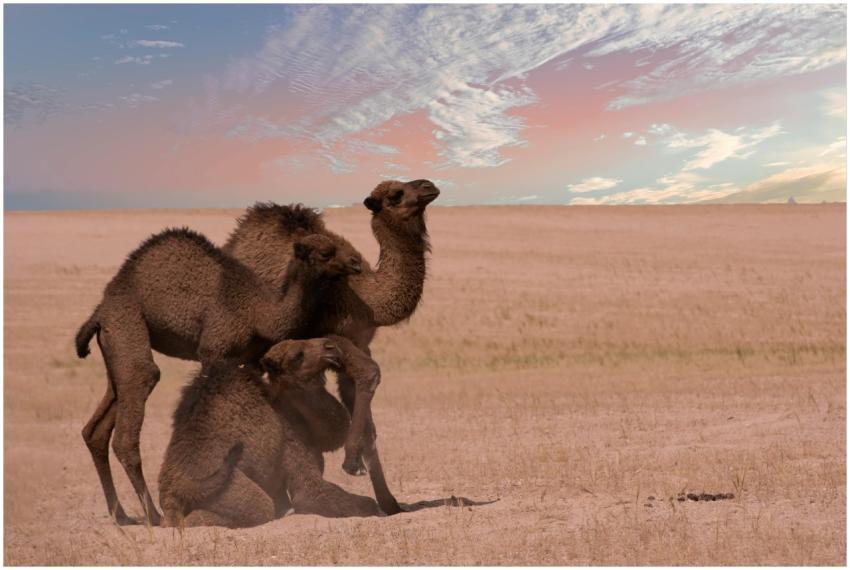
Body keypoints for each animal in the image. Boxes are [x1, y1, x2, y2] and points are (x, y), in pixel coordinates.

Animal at [74, 227, 362, 525]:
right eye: (326, 253)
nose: (356, 263)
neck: (258, 312)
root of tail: (99, 312)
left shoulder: (250, 359)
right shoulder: (213, 350)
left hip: (113, 349)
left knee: (97, 427)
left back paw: (121, 516)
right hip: (126, 326)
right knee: (138, 394)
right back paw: (154, 516)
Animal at [159, 336, 383, 528]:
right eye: (296, 357)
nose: (330, 347)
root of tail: (171, 494)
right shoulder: (292, 445)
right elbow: (314, 496)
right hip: (231, 489)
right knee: (256, 508)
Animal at [223, 179, 440, 514]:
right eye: (396, 195)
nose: (429, 186)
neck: (368, 298)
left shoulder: (361, 343)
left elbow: (368, 412)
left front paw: (389, 503)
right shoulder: (331, 336)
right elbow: (370, 373)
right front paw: (351, 463)